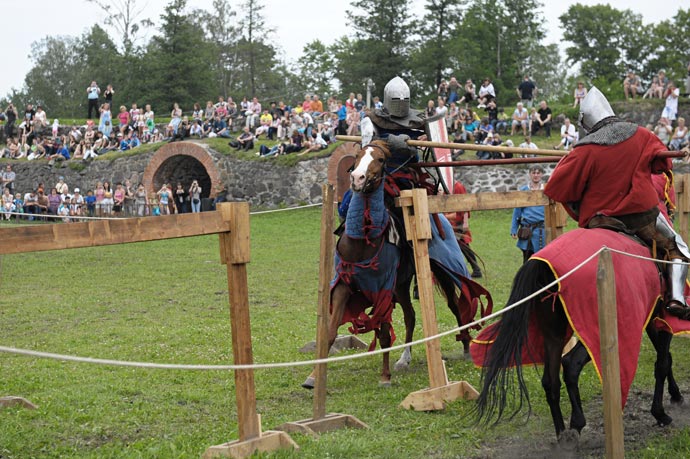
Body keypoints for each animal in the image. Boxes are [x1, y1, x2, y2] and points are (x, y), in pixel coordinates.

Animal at [302, 140, 490, 388]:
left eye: (380, 159)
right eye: (358, 156)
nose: (357, 179)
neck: (362, 242)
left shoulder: (382, 288)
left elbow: (383, 334)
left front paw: (384, 376)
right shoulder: (344, 285)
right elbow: (331, 332)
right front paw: (313, 377)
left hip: (440, 272)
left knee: (455, 305)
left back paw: (466, 347)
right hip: (401, 285)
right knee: (410, 316)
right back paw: (404, 359)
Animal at [470, 230, 680, 450]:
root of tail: (540, 265)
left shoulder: (652, 317)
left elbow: (666, 358)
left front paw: (675, 395)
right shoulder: (662, 318)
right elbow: (663, 362)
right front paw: (661, 412)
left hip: (553, 335)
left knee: (551, 381)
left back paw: (562, 434)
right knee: (571, 364)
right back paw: (576, 424)